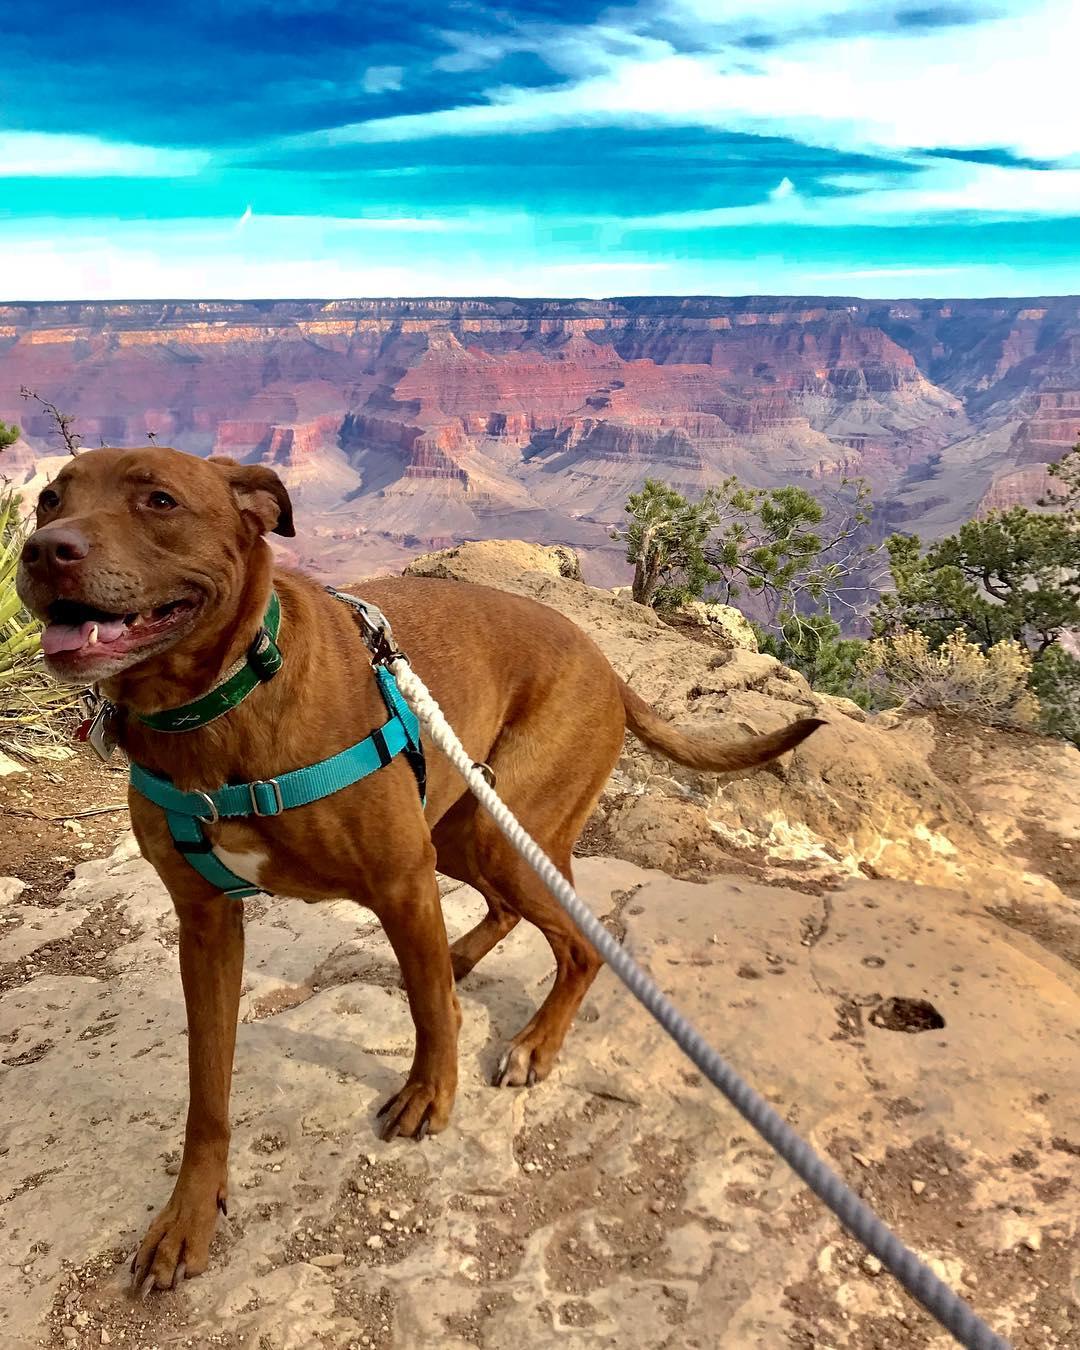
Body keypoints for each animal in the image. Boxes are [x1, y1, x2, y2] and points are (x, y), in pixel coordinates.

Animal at [16, 442, 820, 1285]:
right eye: (49, 500)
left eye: (160, 501)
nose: (43, 551)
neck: (228, 697)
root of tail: (606, 664)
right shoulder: (205, 923)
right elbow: (208, 1087)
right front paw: (187, 1215)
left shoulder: (402, 881)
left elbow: (431, 1010)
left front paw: (430, 1094)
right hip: (467, 828)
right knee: (504, 913)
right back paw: (463, 955)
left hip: (503, 834)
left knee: (580, 945)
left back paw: (534, 1041)